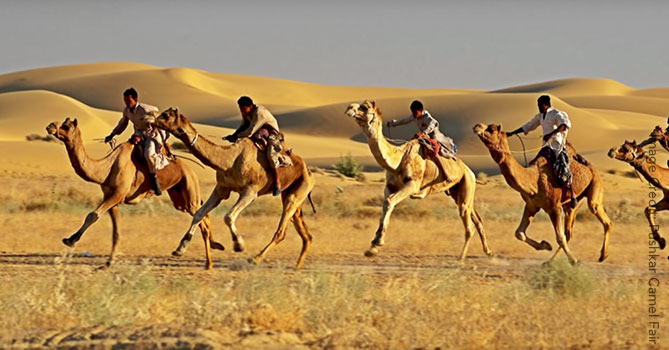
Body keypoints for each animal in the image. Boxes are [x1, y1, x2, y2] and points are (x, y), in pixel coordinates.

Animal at [47, 117, 226, 268]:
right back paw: (213, 249)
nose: (50, 126)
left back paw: (201, 259)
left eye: (66, 126)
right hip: (179, 198)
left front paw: (71, 240)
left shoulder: (117, 194)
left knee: (201, 217)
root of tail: (191, 170)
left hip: (189, 189)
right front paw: (108, 262)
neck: (106, 168)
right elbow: (115, 231)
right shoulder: (112, 197)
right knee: (203, 214)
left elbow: (92, 215)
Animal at [154, 108, 316, 270]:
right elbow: (199, 214)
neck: (230, 160)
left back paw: (255, 259)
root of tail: (308, 170)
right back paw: (297, 266)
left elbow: (228, 216)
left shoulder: (250, 192)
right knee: (305, 233)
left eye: (166, 116)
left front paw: (239, 245)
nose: (153, 119)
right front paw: (180, 248)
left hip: (296, 192)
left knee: (281, 231)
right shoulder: (221, 188)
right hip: (292, 195)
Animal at [344, 100, 490, 262]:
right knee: (476, 218)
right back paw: (488, 252)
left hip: (466, 184)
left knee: (468, 224)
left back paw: (461, 257)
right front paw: (373, 247)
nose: (349, 108)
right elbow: (386, 204)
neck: (398, 159)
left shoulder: (412, 184)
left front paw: (377, 243)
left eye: (365, 107)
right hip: (457, 192)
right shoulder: (390, 186)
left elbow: (390, 201)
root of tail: (471, 172)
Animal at [470, 122, 612, 262]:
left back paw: (602, 255)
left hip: (595, 185)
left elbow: (559, 237)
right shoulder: (532, 205)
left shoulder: (554, 207)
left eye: (492, 129)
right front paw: (546, 245)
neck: (533, 179)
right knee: (569, 232)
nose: (477, 126)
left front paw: (573, 261)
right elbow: (519, 233)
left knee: (601, 216)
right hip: (572, 203)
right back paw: (550, 261)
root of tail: (591, 167)